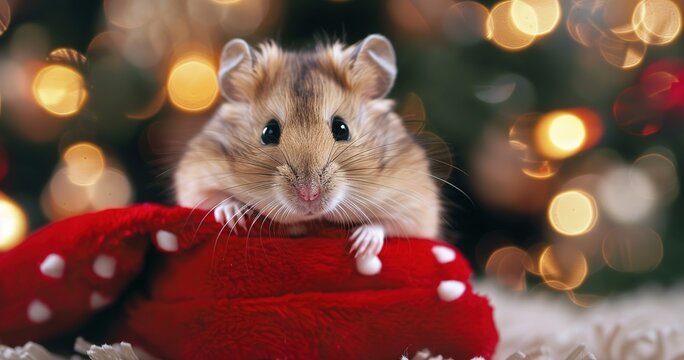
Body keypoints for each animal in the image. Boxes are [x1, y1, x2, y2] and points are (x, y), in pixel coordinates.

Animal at [176, 34, 440, 258]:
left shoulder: (418, 202)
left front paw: (361, 246)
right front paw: (234, 216)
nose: (309, 195)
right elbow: (212, 197)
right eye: (268, 132)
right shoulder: (195, 176)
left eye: (342, 129)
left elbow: (391, 224)